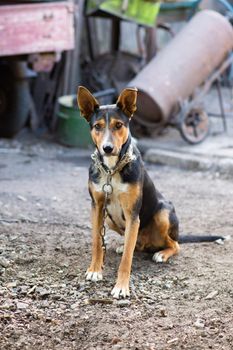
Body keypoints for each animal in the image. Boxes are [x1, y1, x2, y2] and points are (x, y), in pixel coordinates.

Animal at [77, 85, 225, 298]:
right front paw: (95, 270)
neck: (112, 169)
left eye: (119, 125)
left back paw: (161, 253)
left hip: (163, 213)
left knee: (173, 244)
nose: (107, 148)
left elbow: (127, 260)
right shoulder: (97, 206)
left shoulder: (133, 214)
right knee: (137, 244)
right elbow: (97, 241)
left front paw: (121, 287)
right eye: (97, 126)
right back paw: (125, 246)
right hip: (111, 220)